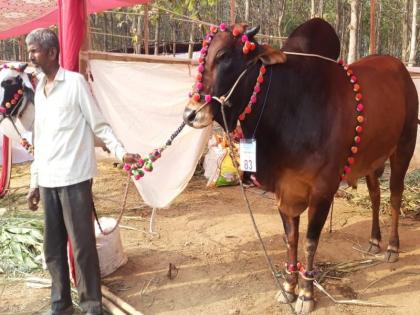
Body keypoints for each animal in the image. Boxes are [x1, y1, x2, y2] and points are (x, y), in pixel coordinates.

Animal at [182, 18, 418, 314]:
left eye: (224, 55)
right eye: (202, 53)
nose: (190, 113)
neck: (289, 106)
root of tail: (400, 68)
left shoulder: (322, 191)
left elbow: (309, 241)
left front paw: (306, 293)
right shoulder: (286, 192)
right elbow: (291, 239)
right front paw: (288, 287)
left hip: (403, 147)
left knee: (395, 196)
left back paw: (392, 248)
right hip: (372, 159)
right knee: (376, 196)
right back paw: (374, 241)